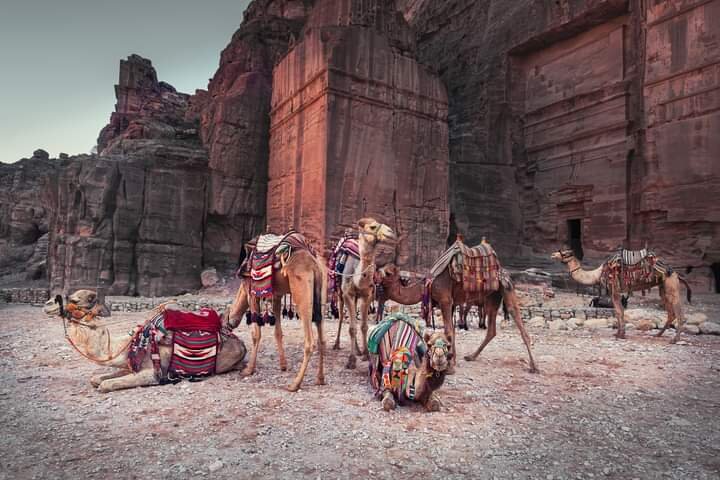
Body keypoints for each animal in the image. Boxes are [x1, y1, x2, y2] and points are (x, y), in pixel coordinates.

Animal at [45, 290, 248, 392]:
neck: (126, 346)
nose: (47, 304)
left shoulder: (152, 372)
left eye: (74, 299)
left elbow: (105, 385)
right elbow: (96, 379)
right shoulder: (130, 365)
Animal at [228, 234, 326, 392]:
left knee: (309, 341)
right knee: (321, 339)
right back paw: (320, 379)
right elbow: (278, 332)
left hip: (302, 295)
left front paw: (248, 369)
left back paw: (294, 384)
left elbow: (255, 334)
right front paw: (283, 365)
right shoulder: (277, 295)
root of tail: (314, 265)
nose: (230, 324)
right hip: (321, 297)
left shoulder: (252, 293)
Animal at [334, 219, 396, 370]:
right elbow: (351, 328)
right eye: (373, 227)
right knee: (341, 317)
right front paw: (351, 361)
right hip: (339, 292)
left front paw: (366, 355)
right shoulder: (348, 294)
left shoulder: (367, 295)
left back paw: (357, 349)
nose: (391, 232)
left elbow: (363, 326)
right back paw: (336, 344)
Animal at [552, 248, 692, 342]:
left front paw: (621, 334)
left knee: (679, 313)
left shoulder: (614, 289)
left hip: (671, 286)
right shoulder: (617, 291)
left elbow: (619, 311)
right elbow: (620, 311)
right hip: (663, 288)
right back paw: (657, 335)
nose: (553, 254)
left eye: (564, 253)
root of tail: (676, 274)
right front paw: (619, 333)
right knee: (671, 313)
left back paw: (675, 339)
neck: (597, 274)